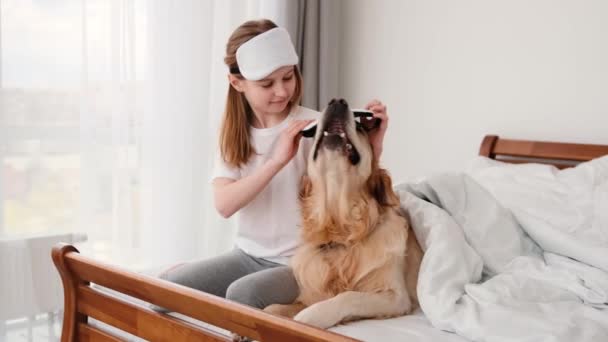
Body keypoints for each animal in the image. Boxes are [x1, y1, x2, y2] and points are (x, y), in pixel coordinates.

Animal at [264, 98, 426, 328]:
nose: (337, 101)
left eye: (360, 127)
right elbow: (273, 309)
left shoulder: (395, 296)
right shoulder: (311, 292)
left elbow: (349, 296)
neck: (340, 233)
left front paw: (309, 316)